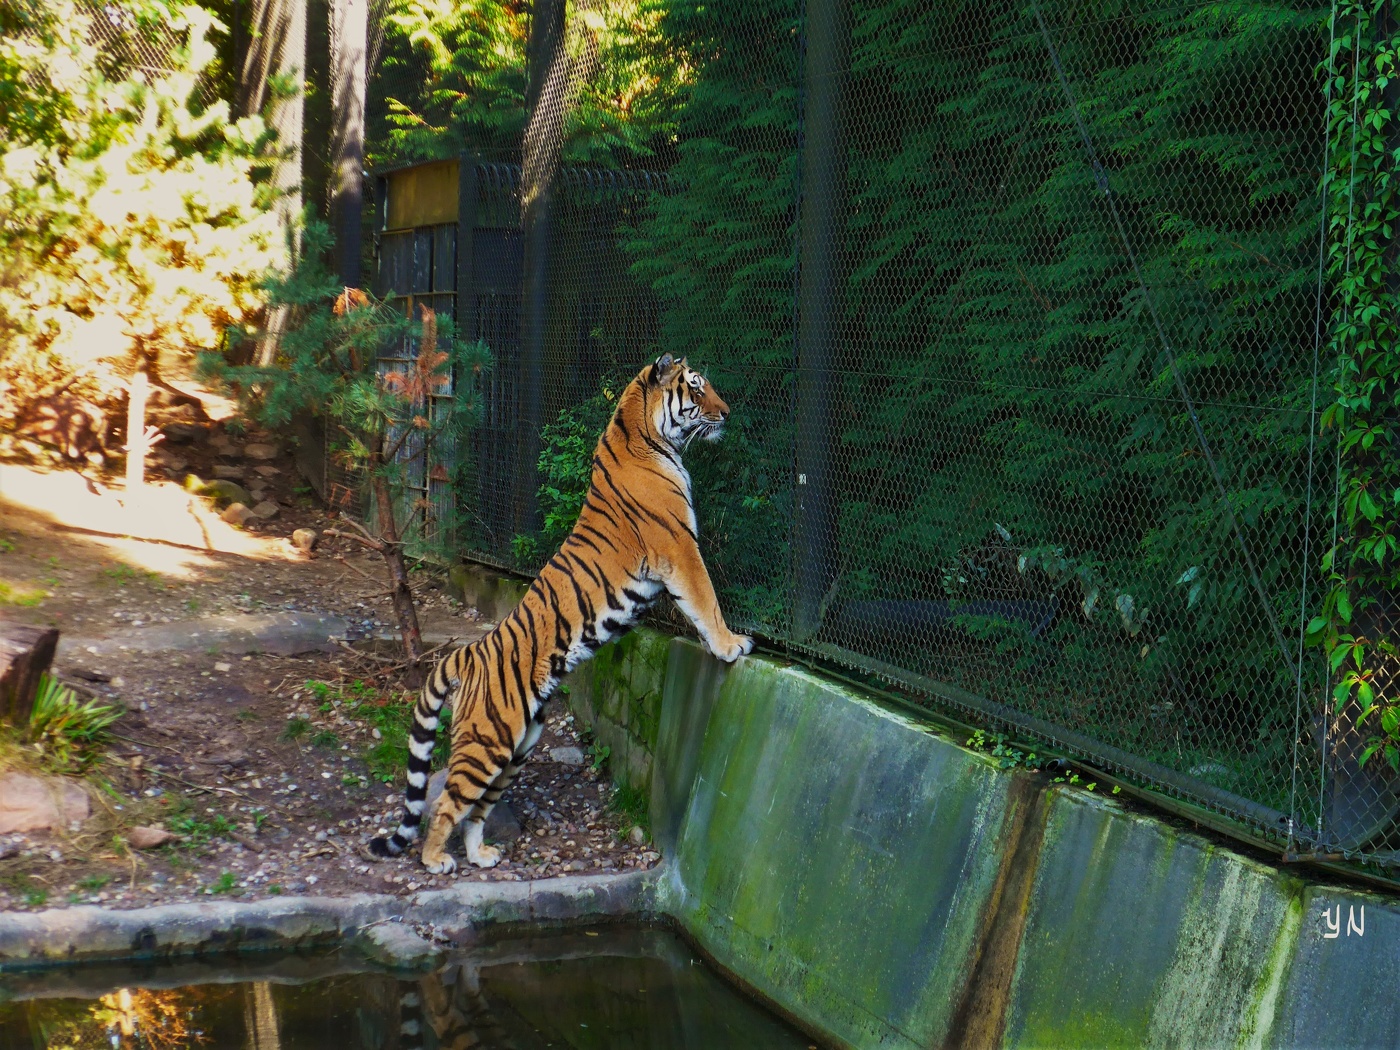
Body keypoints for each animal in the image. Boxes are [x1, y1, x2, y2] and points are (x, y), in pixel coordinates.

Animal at [369, 353, 753, 873]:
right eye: (696, 389)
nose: (727, 412)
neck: (646, 435)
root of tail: (467, 652)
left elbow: (693, 607)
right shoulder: (680, 549)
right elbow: (706, 599)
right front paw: (732, 644)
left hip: (519, 744)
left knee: (477, 807)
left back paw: (482, 854)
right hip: (488, 740)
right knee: (448, 799)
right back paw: (435, 860)